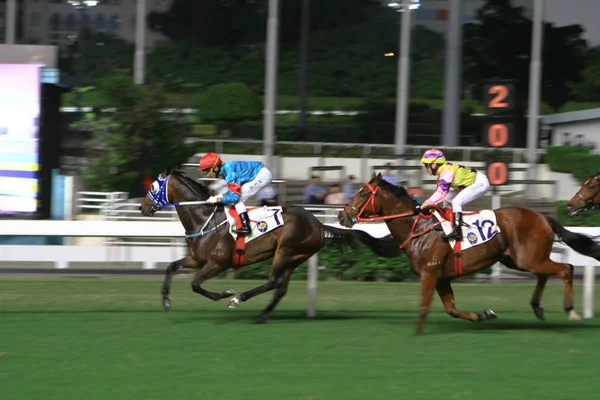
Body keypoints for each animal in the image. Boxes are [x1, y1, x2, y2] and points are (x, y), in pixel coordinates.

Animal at [338, 172, 600, 334]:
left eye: (363, 194)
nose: (342, 215)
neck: (419, 227)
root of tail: (542, 216)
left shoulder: (429, 274)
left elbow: (424, 306)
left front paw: (417, 334)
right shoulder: (441, 277)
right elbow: (451, 309)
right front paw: (483, 315)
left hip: (529, 259)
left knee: (565, 269)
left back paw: (570, 311)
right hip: (519, 260)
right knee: (546, 274)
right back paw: (537, 307)